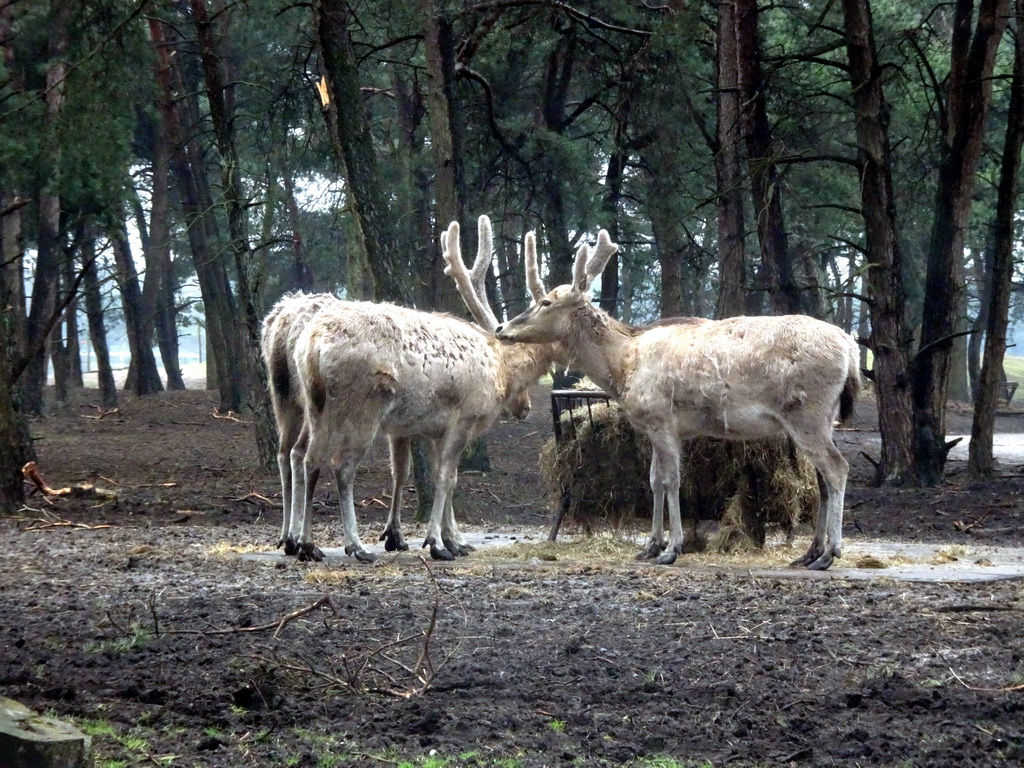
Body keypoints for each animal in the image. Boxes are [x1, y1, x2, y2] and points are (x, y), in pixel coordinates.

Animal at [268, 214, 561, 561]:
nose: (525, 407)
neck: (500, 369)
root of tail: (310, 342)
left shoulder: (430, 429)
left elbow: (433, 475)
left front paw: (450, 539)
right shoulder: (461, 418)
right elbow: (446, 477)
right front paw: (438, 543)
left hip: (309, 403)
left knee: (304, 456)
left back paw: (304, 543)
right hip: (362, 406)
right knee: (341, 465)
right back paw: (353, 545)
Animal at [491, 228, 860, 573]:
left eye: (546, 302)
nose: (501, 328)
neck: (622, 366)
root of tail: (850, 348)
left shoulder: (661, 418)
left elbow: (671, 480)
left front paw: (671, 549)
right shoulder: (654, 427)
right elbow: (653, 480)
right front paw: (649, 546)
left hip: (807, 412)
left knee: (837, 468)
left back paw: (829, 553)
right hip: (822, 418)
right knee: (822, 479)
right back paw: (809, 552)